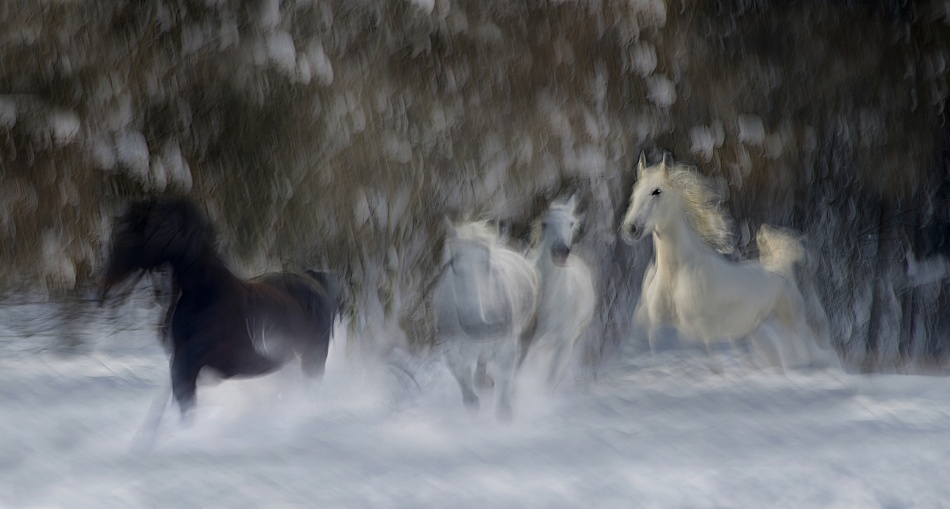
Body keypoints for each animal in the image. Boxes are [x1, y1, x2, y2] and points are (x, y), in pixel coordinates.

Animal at [100, 198, 344, 416]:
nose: (107, 279)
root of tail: (316, 284)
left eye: (131, 231)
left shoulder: (192, 368)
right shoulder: (184, 369)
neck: (206, 295)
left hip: (313, 359)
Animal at [436, 219, 540, 420]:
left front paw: (505, 413)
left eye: (489, 263)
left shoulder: (507, 347)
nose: (477, 327)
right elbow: (469, 395)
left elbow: (505, 386)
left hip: (526, 332)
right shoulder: (450, 352)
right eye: (452, 262)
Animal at [520, 196, 596, 386]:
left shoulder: (564, 345)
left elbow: (550, 379)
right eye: (545, 224)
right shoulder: (529, 339)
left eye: (571, 223)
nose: (561, 252)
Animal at [624, 152, 840, 370]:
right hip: (755, 333)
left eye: (656, 191)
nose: (630, 228)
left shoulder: (703, 338)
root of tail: (781, 269)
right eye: (635, 191)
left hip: (792, 329)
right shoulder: (658, 336)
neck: (676, 278)